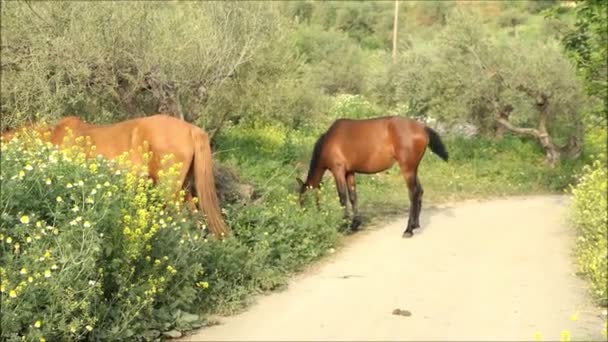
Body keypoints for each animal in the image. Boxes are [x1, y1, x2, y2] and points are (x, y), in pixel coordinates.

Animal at [296, 115, 448, 238]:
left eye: (303, 199)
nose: (303, 216)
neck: (328, 141)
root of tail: (422, 127)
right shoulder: (349, 172)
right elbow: (353, 197)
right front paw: (355, 224)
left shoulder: (338, 170)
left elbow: (343, 198)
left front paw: (344, 225)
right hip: (413, 168)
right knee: (420, 191)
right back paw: (415, 224)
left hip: (407, 169)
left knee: (413, 193)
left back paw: (408, 229)